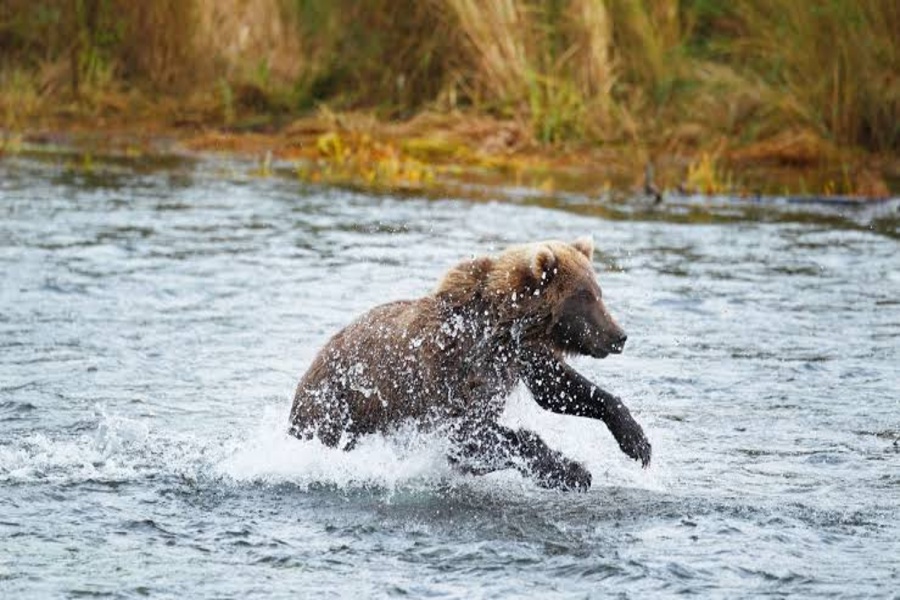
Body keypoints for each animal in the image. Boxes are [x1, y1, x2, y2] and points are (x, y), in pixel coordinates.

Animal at [289, 237, 651, 490]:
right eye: (584, 296)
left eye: (599, 292)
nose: (619, 335)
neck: (504, 328)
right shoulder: (455, 367)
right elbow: (471, 433)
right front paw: (573, 471)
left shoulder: (523, 358)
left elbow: (559, 389)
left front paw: (637, 441)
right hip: (336, 407)